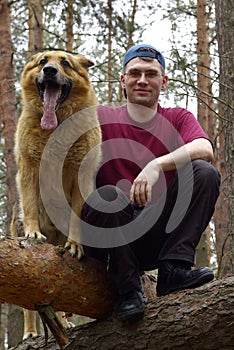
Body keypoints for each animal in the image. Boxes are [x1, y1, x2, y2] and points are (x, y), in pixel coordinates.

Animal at [10, 51, 101, 340]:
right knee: (29, 304)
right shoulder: (29, 169)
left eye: (65, 63)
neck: (56, 125)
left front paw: (75, 244)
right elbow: (29, 206)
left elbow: (76, 218)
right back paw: (30, 333)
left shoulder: (80, 175)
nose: (49, 71)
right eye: (42, 61)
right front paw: (32, 232)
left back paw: (63, 322)